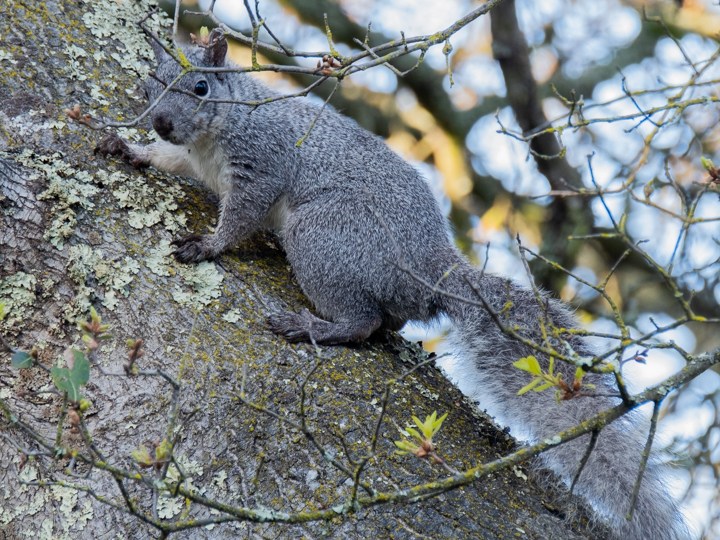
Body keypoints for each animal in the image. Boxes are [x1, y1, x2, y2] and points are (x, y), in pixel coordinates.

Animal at [95, 31, 688, 536]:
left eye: (201, 86)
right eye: (148, 82)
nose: (161, 122)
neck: (216, 133)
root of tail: (432, 270)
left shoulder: (262, 164)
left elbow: (240, 218)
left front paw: (209, 246)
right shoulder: (193, 158)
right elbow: (170, 161)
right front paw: (130, 149)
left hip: (324, 235)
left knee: (362, 322)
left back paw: (312, 325)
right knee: (390, 319)